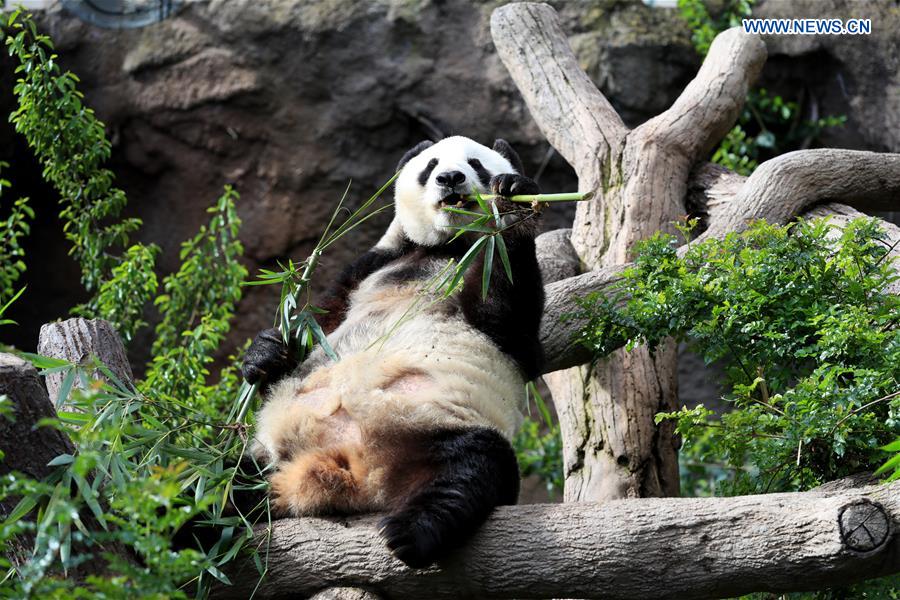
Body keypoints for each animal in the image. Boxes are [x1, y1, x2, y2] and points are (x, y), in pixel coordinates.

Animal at [241, 136, 544, 568]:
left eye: (476, 164)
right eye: (431, 165)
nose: (450, 178)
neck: (447, 245)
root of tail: (354, 470)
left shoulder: (501, 310)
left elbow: (509, 321)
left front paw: (514, 204)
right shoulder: (371, 264)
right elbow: (322, 324)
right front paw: (266, 353)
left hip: (442, 426)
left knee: (475, 467)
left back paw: (413, 532)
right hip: (266, 458)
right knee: (212, 480)